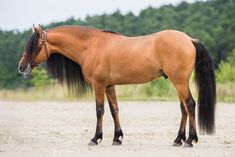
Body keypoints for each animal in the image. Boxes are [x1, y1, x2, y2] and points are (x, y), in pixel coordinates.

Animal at [18, 24, 216, 147]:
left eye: (34, 46)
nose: (21, 67)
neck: (91, 46)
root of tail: (189, 39)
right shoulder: (109, 86)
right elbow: (114, 110)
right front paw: (117, 138)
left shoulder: (98, 85)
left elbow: (99, 110)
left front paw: (96, 138)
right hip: (178, 83)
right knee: (184, 108)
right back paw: (178, 139)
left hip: (179, 81)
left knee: (190, 105)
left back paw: (190, 140)